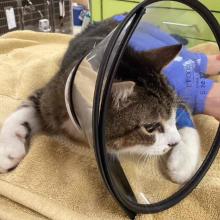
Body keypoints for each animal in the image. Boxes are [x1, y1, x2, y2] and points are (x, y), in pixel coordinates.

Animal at [0, 17, 200, 184]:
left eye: (171, 114)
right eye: (150, 127)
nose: (175, 142)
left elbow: (185, 110)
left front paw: (183, 158)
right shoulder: (53, 96)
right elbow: (26, 107)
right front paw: (7, 145)